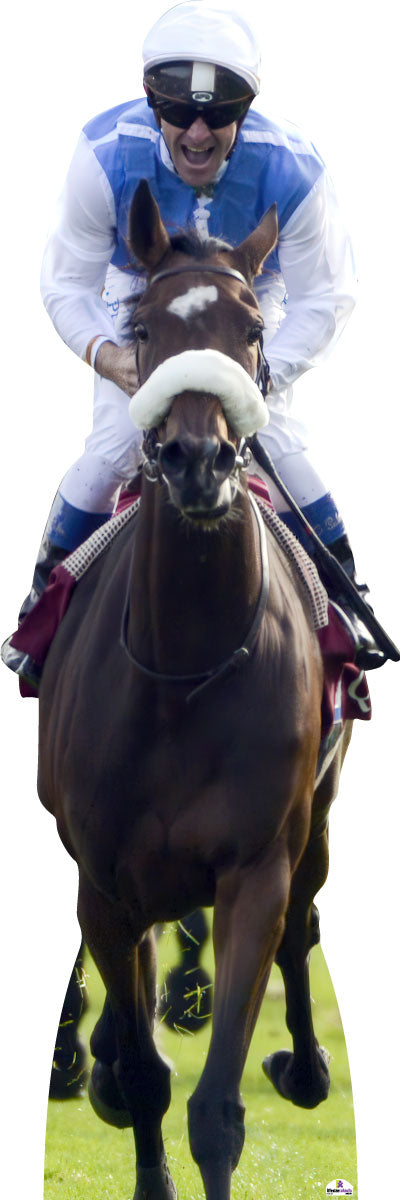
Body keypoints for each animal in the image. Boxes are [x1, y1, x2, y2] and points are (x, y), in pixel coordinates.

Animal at [38, 179, 351, 1200]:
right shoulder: (103, 875)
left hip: (316, 821)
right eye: (142, 325)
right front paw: (112, 1076)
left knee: (304, 925)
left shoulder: (255, 865)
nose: (198, 459)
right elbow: (143, 1077)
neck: (182, 672)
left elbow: (216, 1108)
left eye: (251, 330)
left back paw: (305, 1065)